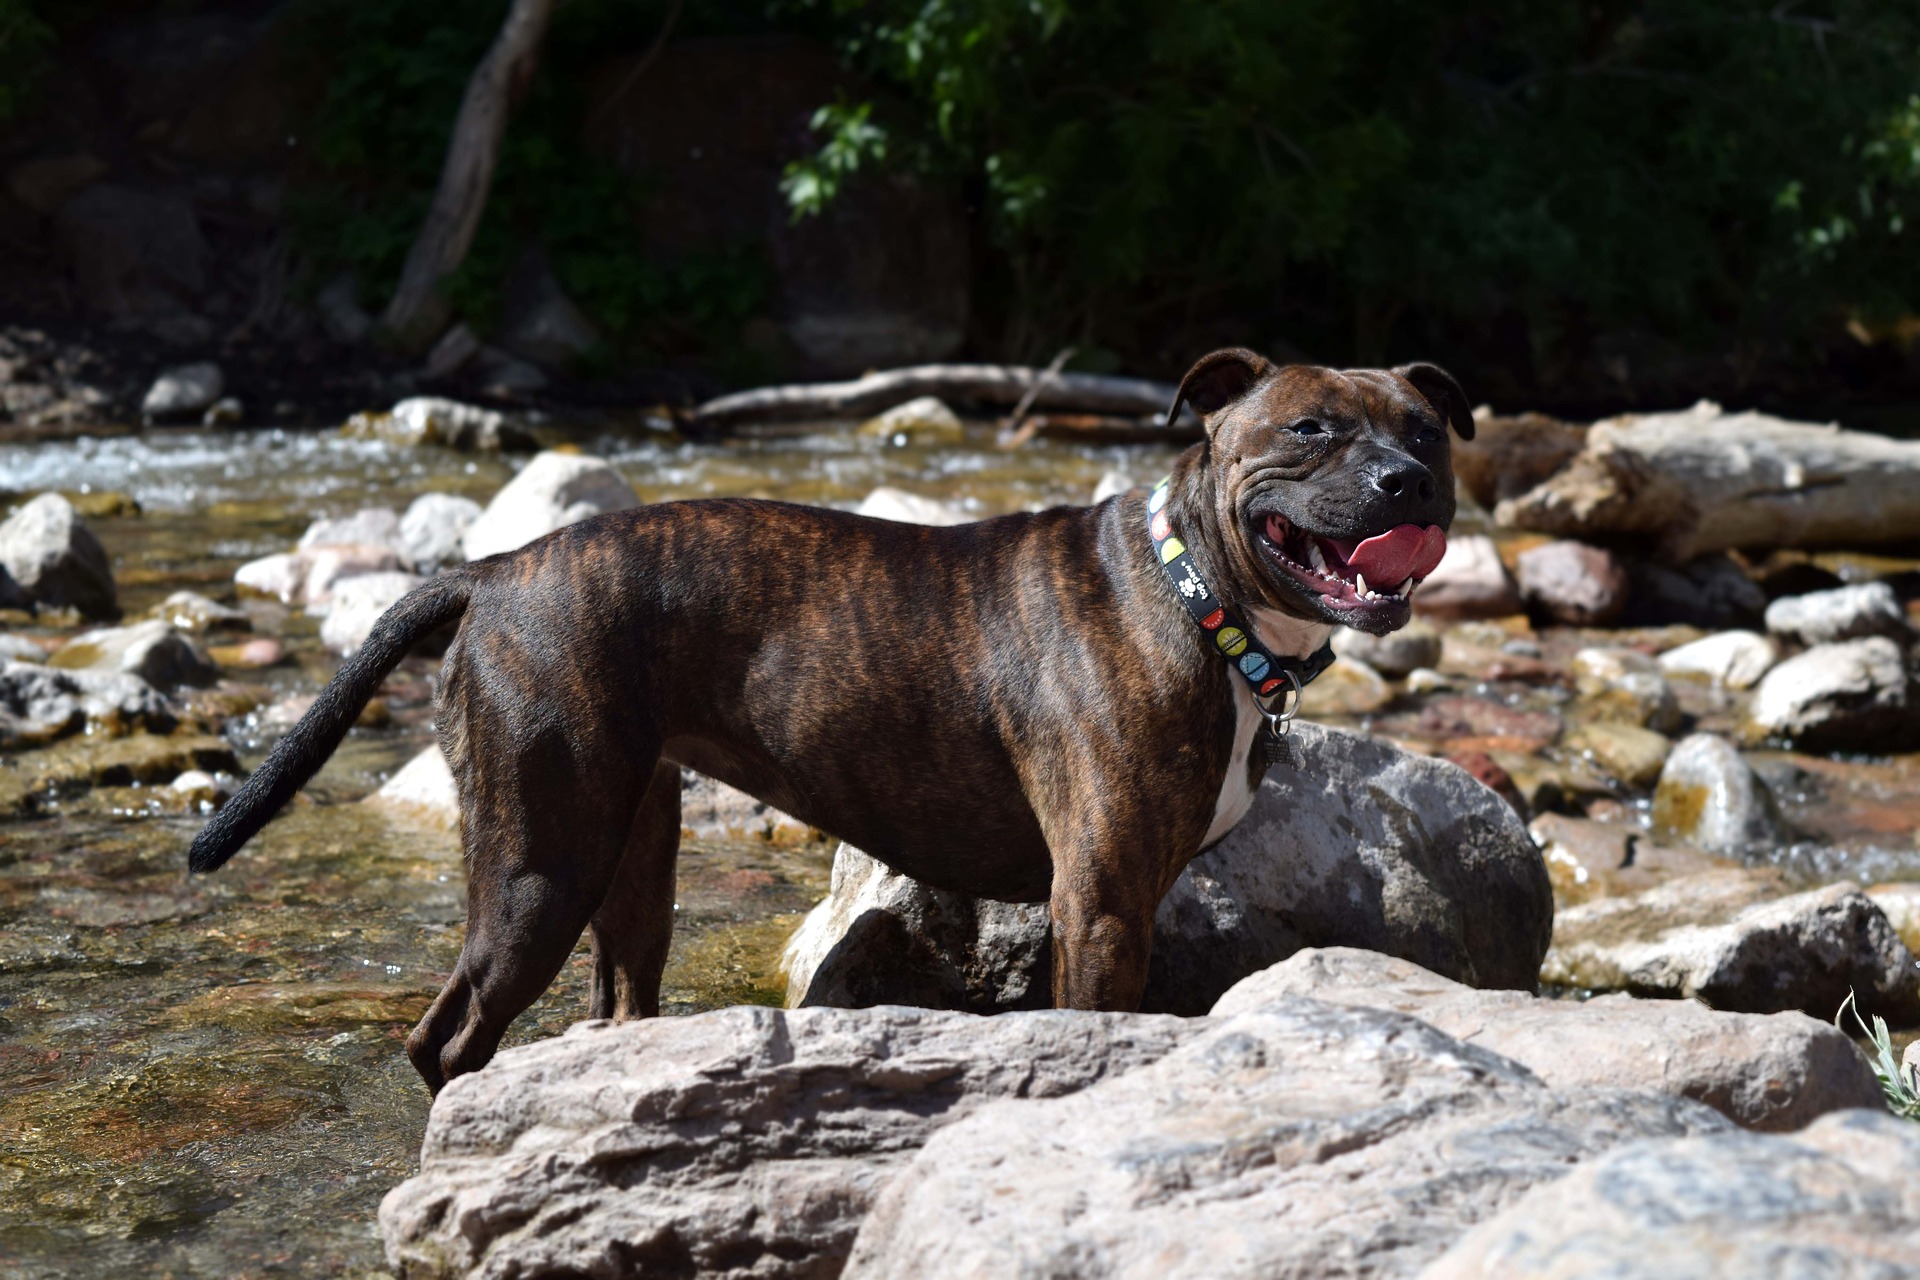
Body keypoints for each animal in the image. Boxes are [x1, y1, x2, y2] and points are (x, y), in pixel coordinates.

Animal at [194, 351, 1466, 1090]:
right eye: (1309, 429)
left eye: (1426, 427)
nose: (1409, 481)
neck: (1194, 590)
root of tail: (496, 569)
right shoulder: (1101, 904)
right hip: (535, 868)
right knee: (445, 1037)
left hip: (630, 857)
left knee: (617, 996)